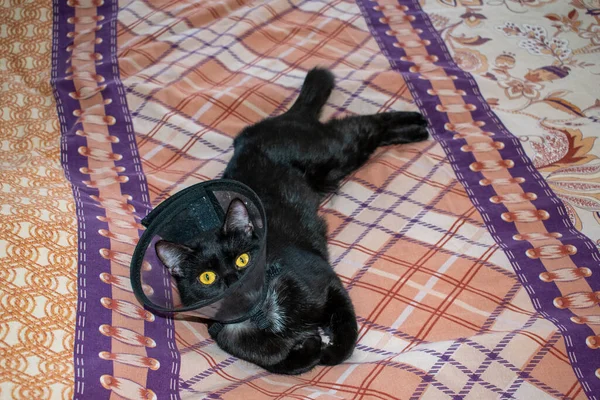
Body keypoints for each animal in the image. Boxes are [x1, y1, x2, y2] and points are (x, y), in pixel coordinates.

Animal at [154, 68, 426, 376]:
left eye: (242, 260)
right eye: (207, 277)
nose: (235, 280)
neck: (263, 313)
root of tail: (279, 119)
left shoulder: (327, 281)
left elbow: (347, 331)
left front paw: (330, 350)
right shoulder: (236, 341)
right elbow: (286, 363)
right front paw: (311, 345)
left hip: (329, 153)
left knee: (360, 124)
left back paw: (418, 125)